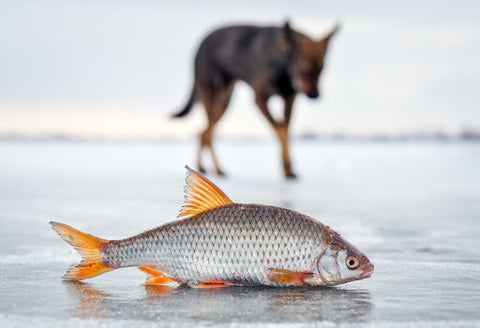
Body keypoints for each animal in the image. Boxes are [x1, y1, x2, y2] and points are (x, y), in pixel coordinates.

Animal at [172, 21, 338, 178]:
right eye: (304, 70)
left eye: (322, 70)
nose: (315, 95)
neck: (282, 66)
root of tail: (201, 44)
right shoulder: (260, 99)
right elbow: (279, 129)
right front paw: (286, 165)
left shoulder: (289, 99)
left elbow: (285, 130)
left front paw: (288, 168)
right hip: (214, 95)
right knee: (207, 132)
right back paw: (214, 168)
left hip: (225, 100)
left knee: (205, 132)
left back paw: (207, 168)